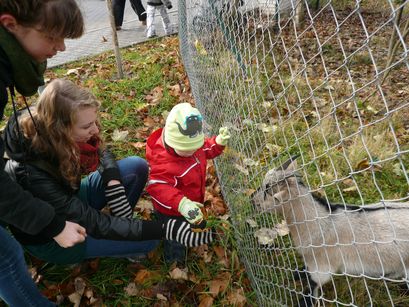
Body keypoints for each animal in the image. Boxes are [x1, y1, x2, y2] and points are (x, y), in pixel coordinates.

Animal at [250, 159, 408, 304]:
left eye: (267, 192)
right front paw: (299, 273)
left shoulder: (322, 264)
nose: (251, 199)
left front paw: (305, 301)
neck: (321, 222)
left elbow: (314, 283)